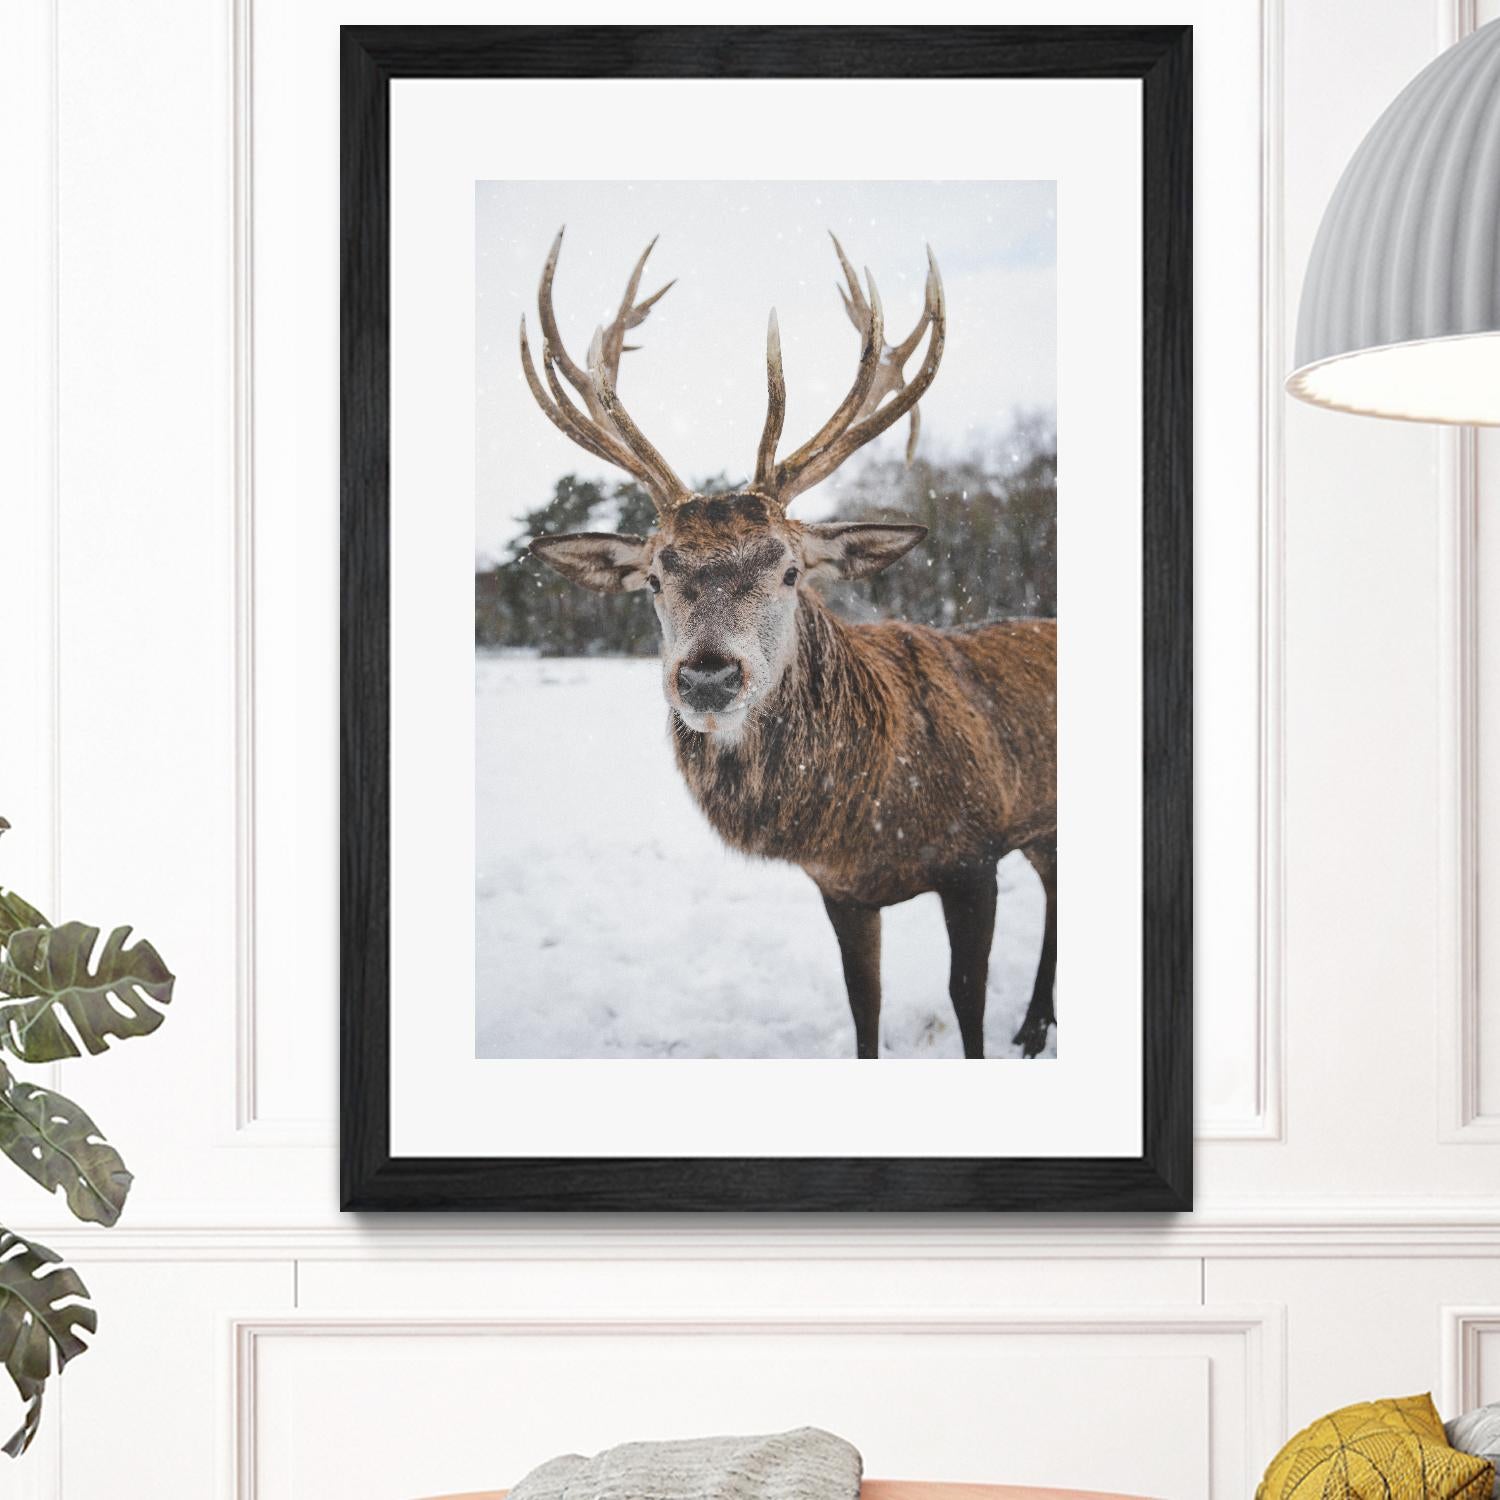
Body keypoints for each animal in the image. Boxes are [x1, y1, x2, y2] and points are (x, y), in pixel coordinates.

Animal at [519, 228, 1056, 1060]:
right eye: (654, 577)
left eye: (791, 569)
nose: (708, 678)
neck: (871, 816)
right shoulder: (840, 889)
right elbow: (864, 1007)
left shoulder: (975, 855)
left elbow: (966, 1005)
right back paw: (1034, 1023)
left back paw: (1031, 1028)